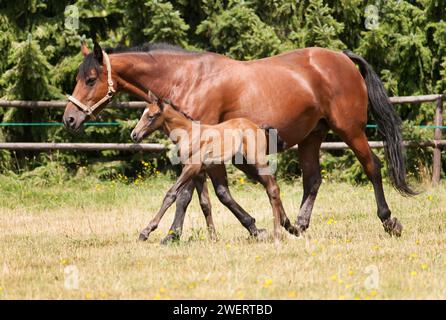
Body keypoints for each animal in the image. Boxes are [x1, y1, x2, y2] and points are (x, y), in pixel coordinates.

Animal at [132, 100, 300, 242]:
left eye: (151, 116)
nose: (134, 134)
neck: (189, 134)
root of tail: (257, 126)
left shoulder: (191, 167)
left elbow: (171, 194)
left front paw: (146, 231)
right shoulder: (198, 172)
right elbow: (205, 203)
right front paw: (213, 237)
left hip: (256, 161)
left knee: (272, 188)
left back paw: (277, 234)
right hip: (246, 165)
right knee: (272, 186)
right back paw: (289, 226)